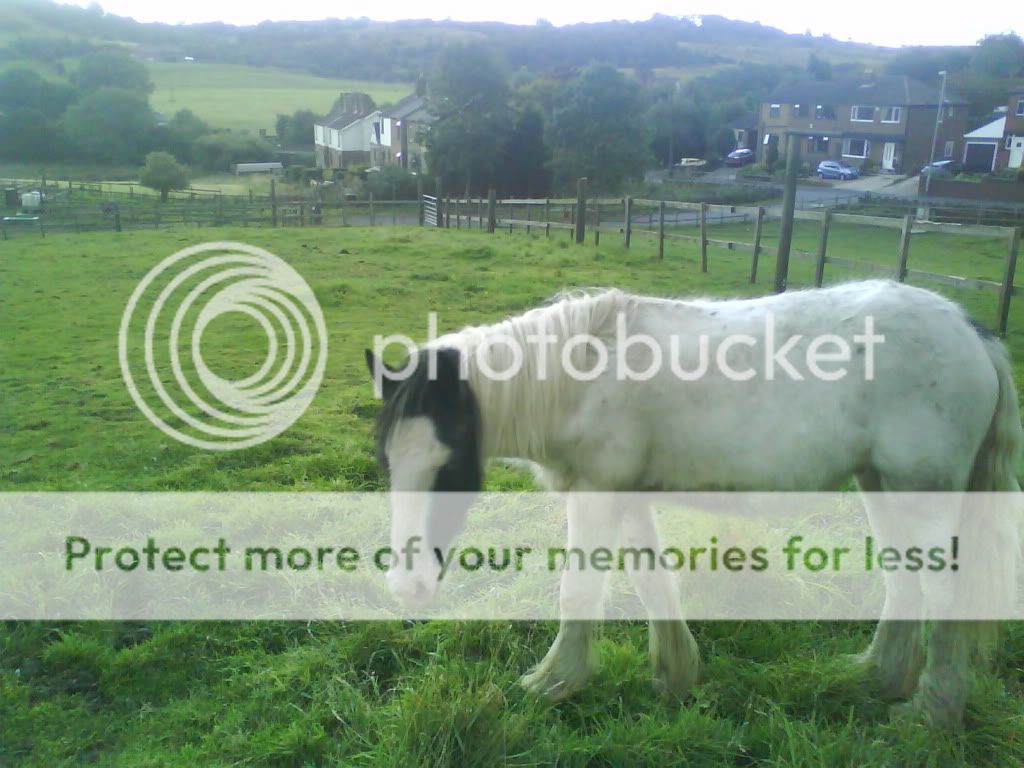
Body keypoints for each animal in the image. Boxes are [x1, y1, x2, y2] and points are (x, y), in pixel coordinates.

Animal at [364, 282, 1019, 729]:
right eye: (389, 462)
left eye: (448, 469)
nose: (407, 587)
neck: (580, 377)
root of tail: (971, 332)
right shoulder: (624, 495)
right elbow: (654, 583)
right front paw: (675, 676)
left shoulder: (597, 494)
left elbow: (578, 592)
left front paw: (552, 682)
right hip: (880, 484)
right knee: (903, 582)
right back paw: (877, 676)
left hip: (922, 495)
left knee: (945, 597)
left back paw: (931, 714)